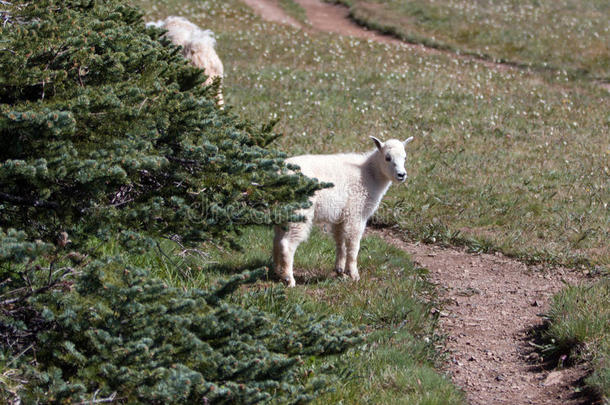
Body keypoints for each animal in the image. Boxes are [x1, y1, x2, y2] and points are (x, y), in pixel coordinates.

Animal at [274, 137, 414, 288]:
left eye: (405, 158)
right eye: (387, 158)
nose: (401, 175)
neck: (370, 174)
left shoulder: (340, 215)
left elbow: (340, 241)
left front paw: (340, 271)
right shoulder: (356, 212)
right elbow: (353, 245)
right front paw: (354, 274)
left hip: (281, 212)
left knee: (277, 240)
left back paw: (277, 272)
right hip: (299, 210)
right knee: (287, 244)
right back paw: (289, 279)